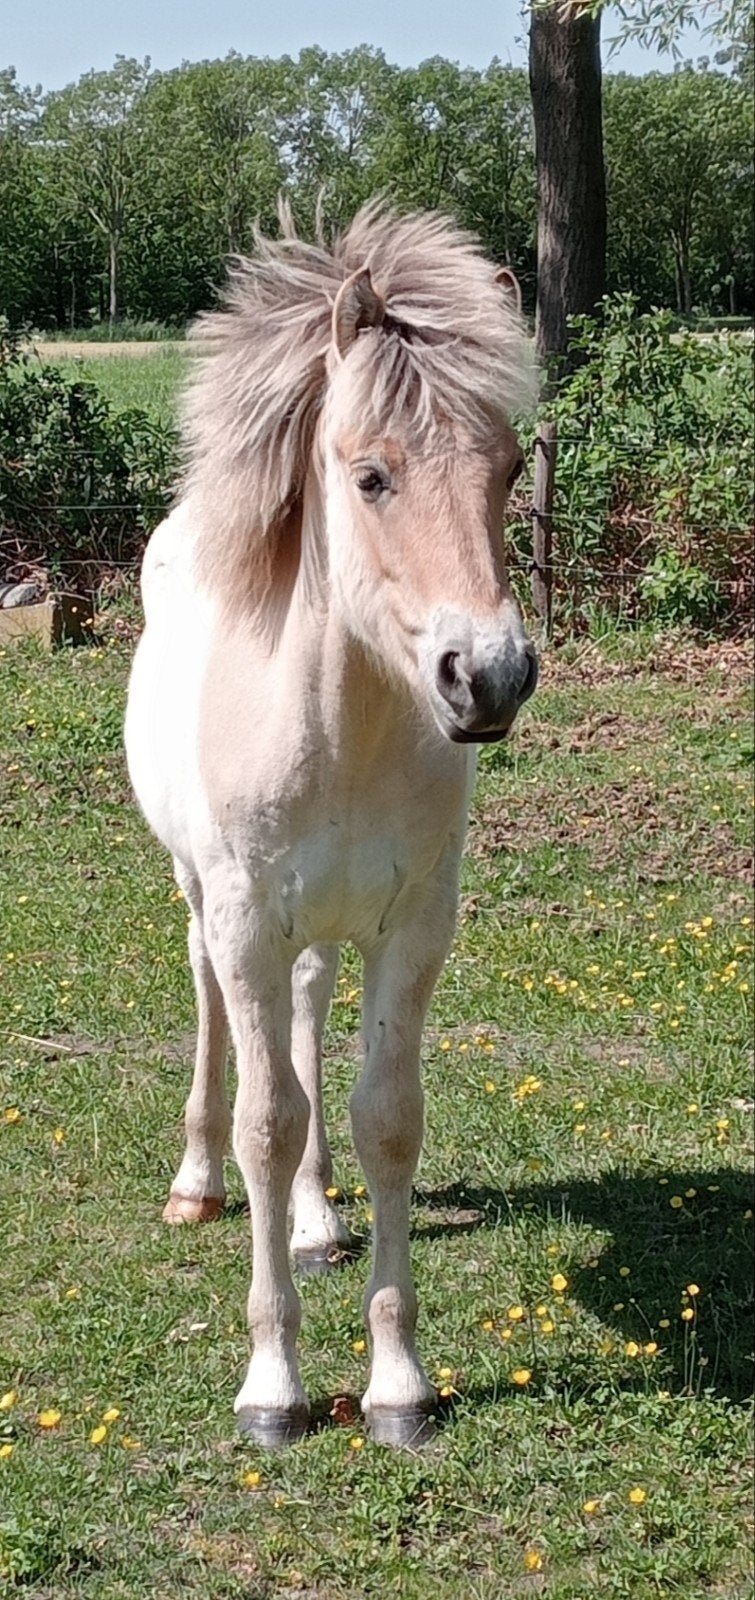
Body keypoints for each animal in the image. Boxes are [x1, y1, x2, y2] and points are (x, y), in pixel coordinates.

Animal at [125, 203, 538, 1450]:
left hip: (320, 928)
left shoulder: (413, 926)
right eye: (371, 476)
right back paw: (197, 1183)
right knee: (216, 1014)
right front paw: (273, 1385)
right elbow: (268, 1119)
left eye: (507, 468)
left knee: (309, 1018)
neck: (341, 723)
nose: (487, 677)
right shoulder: (246, 918)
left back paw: (313, 1222)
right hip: (204, 901)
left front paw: (397, 1383)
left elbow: (383, 1119)